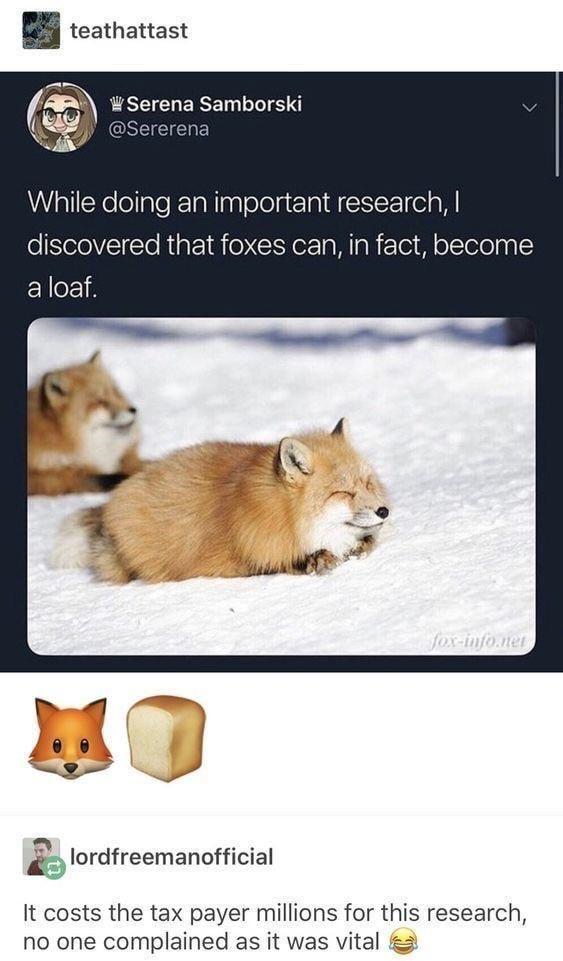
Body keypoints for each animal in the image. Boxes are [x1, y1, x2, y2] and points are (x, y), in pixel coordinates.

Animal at [52, 417, 390, 583]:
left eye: (367, 483)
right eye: (343, 492)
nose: (383, 510)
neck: (280, 515)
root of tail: (113, 500)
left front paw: (361, 545)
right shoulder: (240, 557)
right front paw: (318, 560)